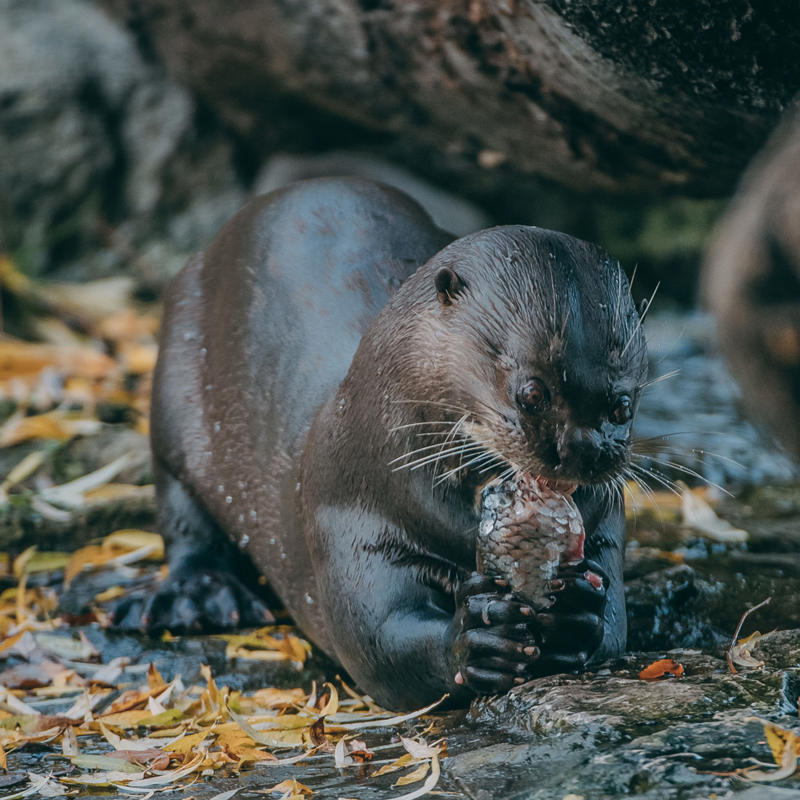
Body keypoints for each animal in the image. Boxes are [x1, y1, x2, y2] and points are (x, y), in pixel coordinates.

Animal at [114, 178, 648, 710]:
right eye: (532, 393)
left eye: (622, 405)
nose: (585, 450)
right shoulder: (350, 508)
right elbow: (378, 638)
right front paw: (474, 636)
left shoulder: (604, 521)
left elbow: (615, 626)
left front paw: (579, 611)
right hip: (174, 386)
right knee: (181, 506)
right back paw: (195, 596)